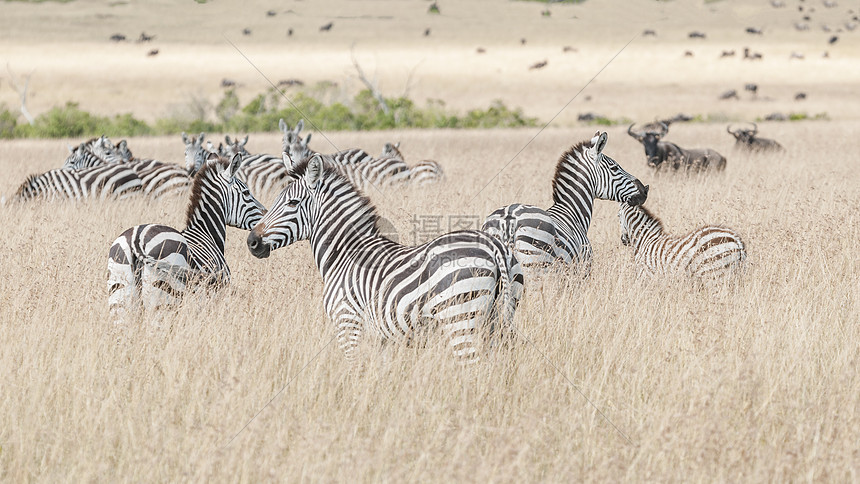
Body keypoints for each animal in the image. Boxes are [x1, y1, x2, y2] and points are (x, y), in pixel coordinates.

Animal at [109, 151, 268, 318]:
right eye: (246, 192)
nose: (266, 215)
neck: (205, 231)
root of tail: (136, 240)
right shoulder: (216, 295)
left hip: (120, 299)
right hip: (166, 300)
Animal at [244, 155, 524, 364]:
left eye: (292, 203)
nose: (252, 242)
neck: (345, 254)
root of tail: (493, 245)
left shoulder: (348, 324)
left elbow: (353, 372)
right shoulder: (383, 338)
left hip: (461, 318)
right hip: (498, 318)